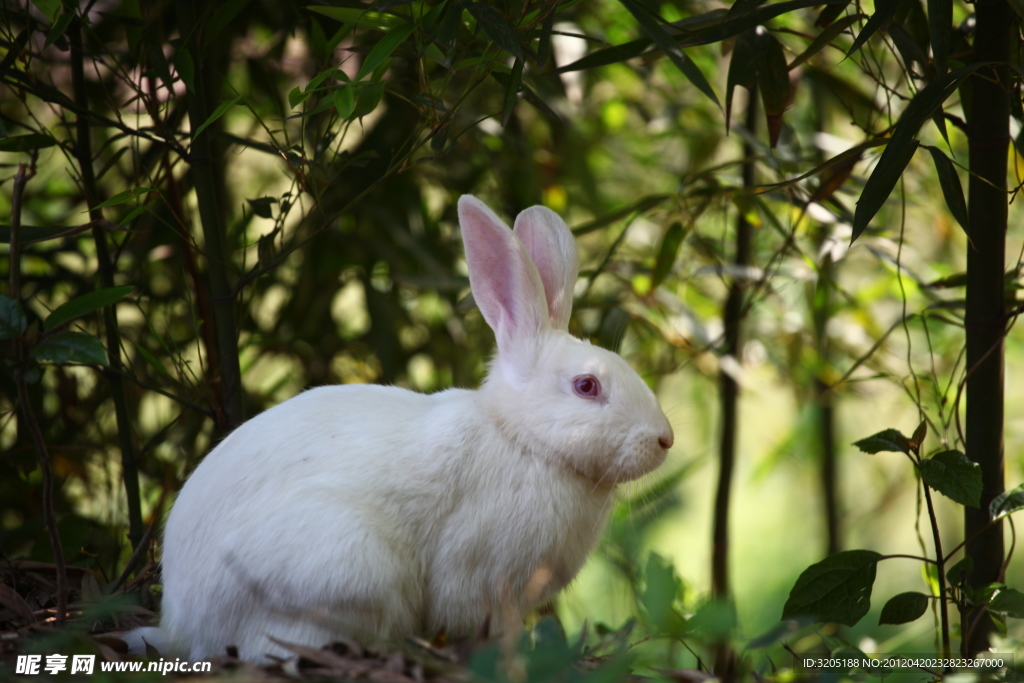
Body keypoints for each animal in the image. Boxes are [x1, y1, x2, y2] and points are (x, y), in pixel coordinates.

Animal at [142, 196, 671, 663]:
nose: (665, 439)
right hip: (341, 570)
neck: (522, 440)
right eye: (587, 386)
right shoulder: (476, 578)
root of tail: (182, 626)